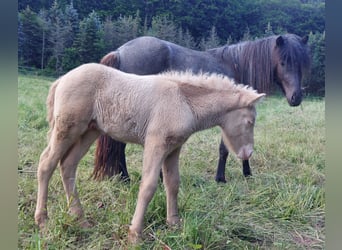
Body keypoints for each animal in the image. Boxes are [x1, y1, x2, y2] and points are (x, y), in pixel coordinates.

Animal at [91, 33, 310, 183]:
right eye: (283, 62)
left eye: (302, 63)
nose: (296, 97)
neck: (238, 67)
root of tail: (120, 51)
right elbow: (227, 147)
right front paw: (224, 177)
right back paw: (125, 178)